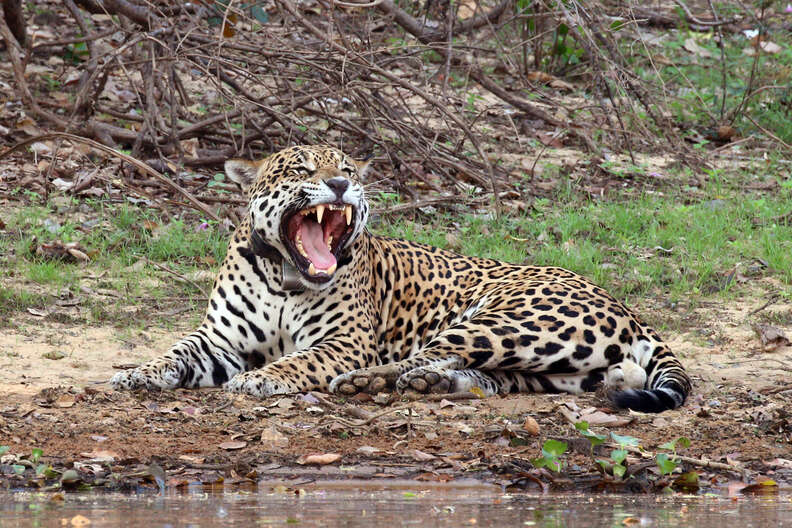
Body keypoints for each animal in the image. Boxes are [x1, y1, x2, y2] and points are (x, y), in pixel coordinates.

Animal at [111, 145, 691, 413]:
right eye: (300, 170)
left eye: (347, 168)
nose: (340, 184)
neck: (283, 275)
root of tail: (626, 306)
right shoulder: (219, 340)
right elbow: (176, 351)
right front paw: (137, 372)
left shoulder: (344, 342)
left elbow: (301, 360)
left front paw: (262, 378)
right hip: (553, 368)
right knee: (486, 376)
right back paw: (434, 385)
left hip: (506, 320)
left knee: (425, 356)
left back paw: (369, 383)